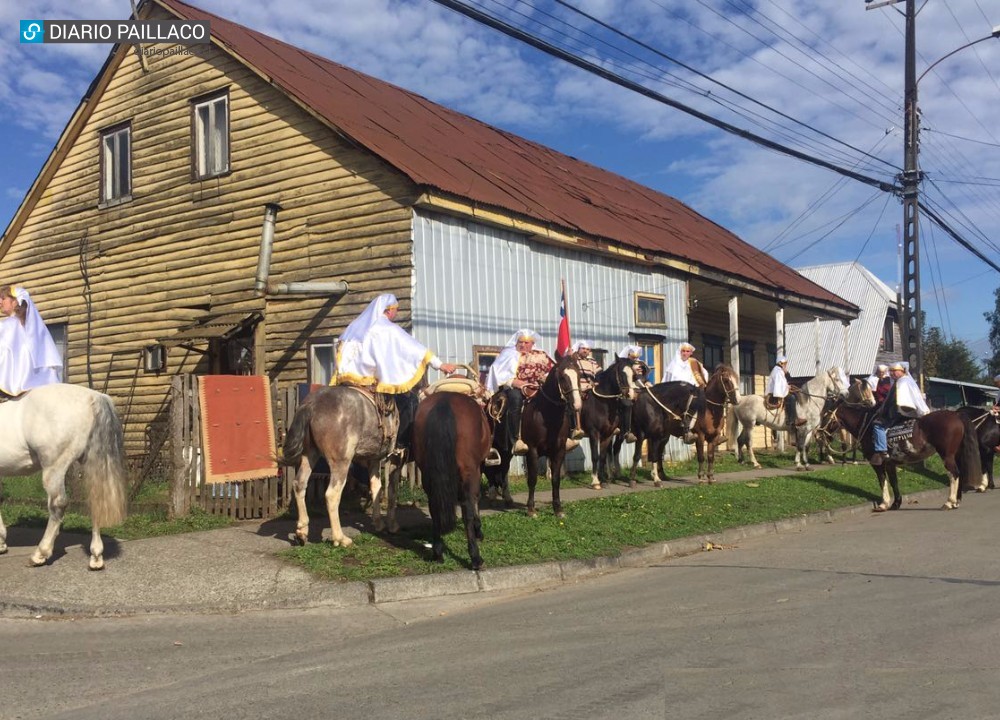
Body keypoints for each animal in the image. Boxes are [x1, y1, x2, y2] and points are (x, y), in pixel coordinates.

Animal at [0, 382, 128, 568]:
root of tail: (93, 396)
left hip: (54, 467)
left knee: (58, 505)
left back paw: (40, 554)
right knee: (96, 500)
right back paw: (96, 556)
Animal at [280, 388, 404, 544]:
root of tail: (311, 405)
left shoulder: (374, 460)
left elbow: (377, 488)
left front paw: (379, 524)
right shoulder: (397, 458)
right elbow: (392, 491)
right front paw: (392, 526)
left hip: (310, 455)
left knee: (299, 484)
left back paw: (302, 532)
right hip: (341, 462)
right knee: (332, 494)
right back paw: (340, 538)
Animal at [412, 390, 494, 572]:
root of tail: (445, 402)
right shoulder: (477, 469)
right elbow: (475, 499)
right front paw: (478, 530)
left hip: (428, 473)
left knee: (434, 507)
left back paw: (437, 552)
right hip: (469, 471)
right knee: (467, 508)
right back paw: (475, 558)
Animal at [584, 358, 636, 492]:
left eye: (633, 375)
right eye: (622, 374)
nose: (630, 395)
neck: (602, 404)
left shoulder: (607, 434)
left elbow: (602, 456)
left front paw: (603, 480)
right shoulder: (594, 433)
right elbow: (595, 456)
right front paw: (595, 481)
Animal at [832, 400, 980, 512]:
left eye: (827, 413)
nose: (824, 433)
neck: (867, 426)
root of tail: (956, 415)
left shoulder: (878, 463)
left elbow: (882, 480)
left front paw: (883, 504)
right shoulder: (890, 463)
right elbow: (893, 482)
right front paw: (896, 503)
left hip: (947, 456)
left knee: (954, 474)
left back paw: (949, 502)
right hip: (957, 455)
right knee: (960, 473)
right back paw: (956, 502)